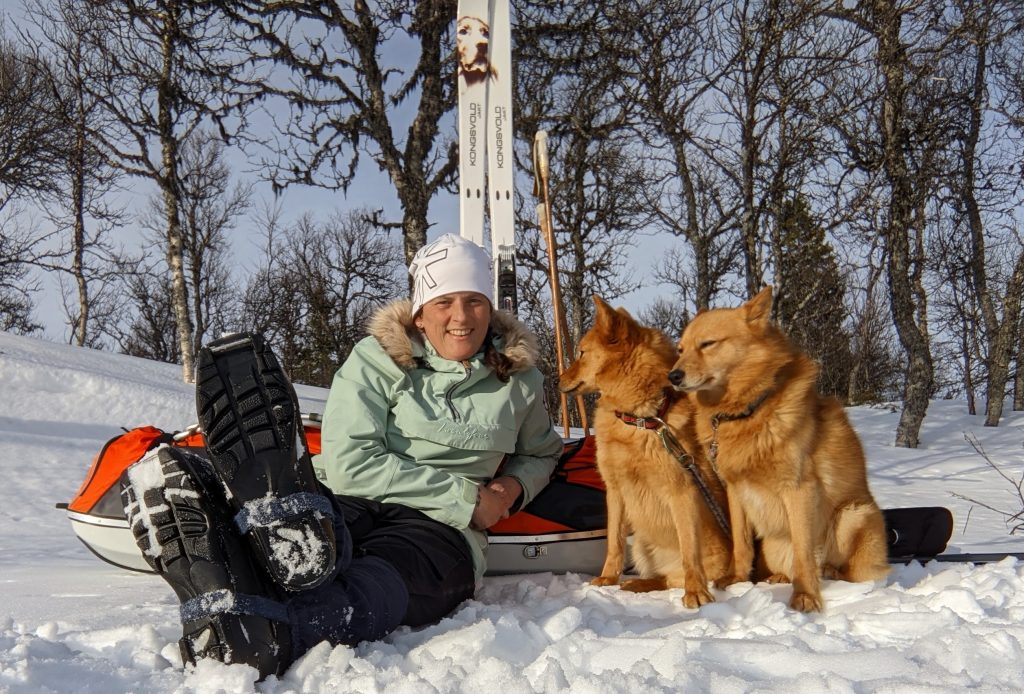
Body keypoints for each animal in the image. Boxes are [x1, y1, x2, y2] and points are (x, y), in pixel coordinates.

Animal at [557, 296, 733, 610]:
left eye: (581, 353)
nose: (557, 381)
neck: (640, 419)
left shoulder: (682, 491)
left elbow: (690, 550)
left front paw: (696, 592)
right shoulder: (615, 491)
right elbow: (613, 543)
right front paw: (607, 579)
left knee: (676, 576)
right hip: (640, 544)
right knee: (661, 577)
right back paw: (636, 583)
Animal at [671, 288, 888, 614]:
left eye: (707, 344)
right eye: (680, 349)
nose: (673, 376)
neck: (747, 411)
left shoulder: (799, 489)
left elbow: (803, 551)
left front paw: (806, 595)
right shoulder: (736, 490)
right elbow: (741, 543)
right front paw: (737, 579)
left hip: (852, 514)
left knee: (851, 570)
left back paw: (831, 573)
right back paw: (779, 577)